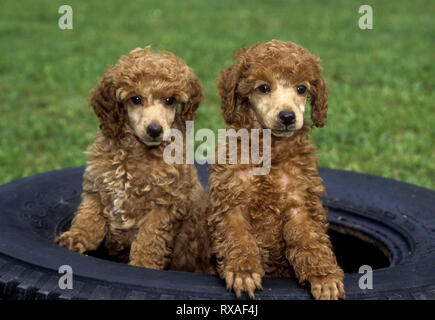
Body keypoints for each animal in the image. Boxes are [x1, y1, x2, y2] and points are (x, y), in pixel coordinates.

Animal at [55, 47, 212, 272]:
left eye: (170, 101)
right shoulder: (96, 187)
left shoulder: (164, 204)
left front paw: (142, 264)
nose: (155, 130)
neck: (137, 151)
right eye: (136, 99)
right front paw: (76, 237)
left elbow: (149, 240)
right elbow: (88, 218)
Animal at [209, 40, 346, 300]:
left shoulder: (300, 202)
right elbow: (238, 237)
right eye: (263, 87)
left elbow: (311, 241)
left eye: (302, 89)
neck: (271, 150)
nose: (288, 116)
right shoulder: (231, 198)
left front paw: (324, 277)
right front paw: (243, 272)